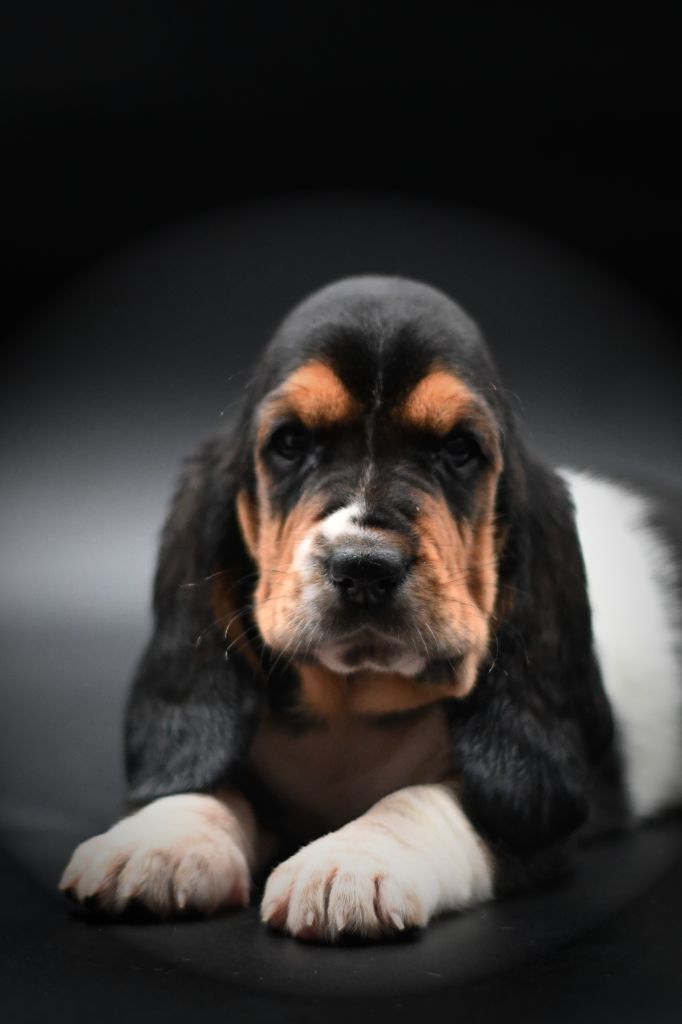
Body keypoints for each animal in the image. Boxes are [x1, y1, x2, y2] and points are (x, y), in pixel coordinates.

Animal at [60, 276, 682, 941]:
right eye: (290, 443)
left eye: (459, 450)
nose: (364, 567)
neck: (352, 707)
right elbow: (211, 781)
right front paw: (158, 841)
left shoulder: (535, 817)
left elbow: (424, 798)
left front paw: (351, 862)